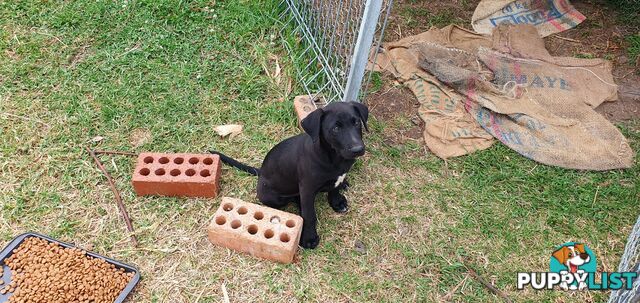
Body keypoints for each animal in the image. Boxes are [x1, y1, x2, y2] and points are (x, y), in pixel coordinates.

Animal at [211, 101, 368, 249]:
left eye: (356, 122)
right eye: (336, 128)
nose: (358, 149)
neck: (334, 157)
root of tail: (261, 172)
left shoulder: (338, 176)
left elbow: (335, 189)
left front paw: (337, 202)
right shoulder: (307, 188)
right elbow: (309, 215)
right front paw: (309, 238)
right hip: (272, 196)